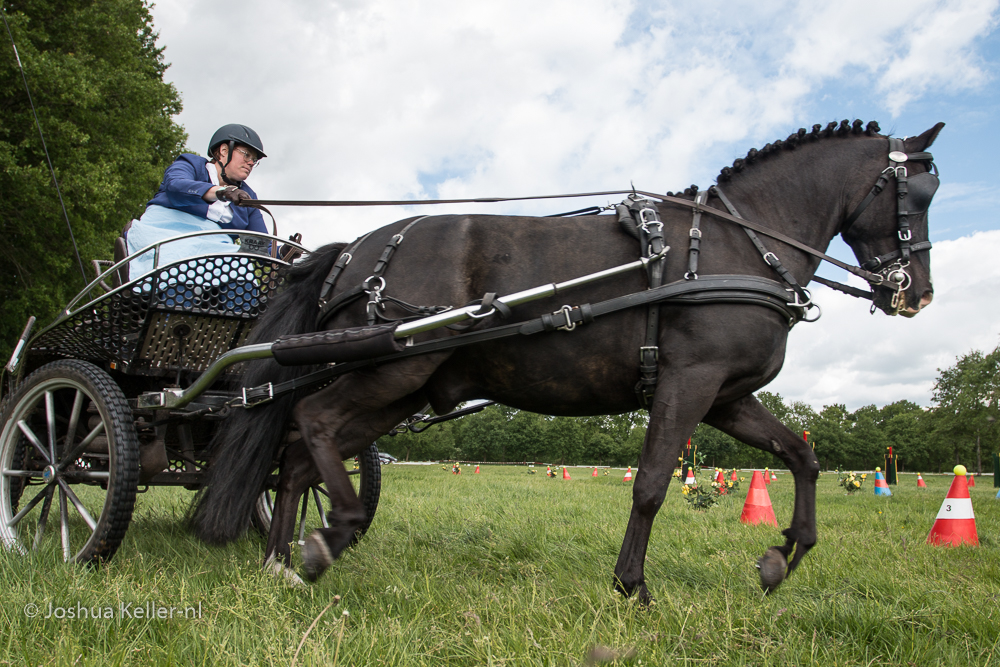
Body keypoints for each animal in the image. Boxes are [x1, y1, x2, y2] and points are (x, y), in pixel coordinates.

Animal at [191, 118, 940, 600]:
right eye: (918, 194)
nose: (917, 294)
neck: (737, 246)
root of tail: (355, 249)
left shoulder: (726, 397)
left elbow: (802, 455)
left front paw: (783, 557)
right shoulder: (689, 383)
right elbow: (651, 484)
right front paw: (631, 585)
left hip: (399, 387)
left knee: (295, 455)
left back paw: (281, 560)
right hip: (389, 370)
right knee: (311, 425)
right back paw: (328, 537)